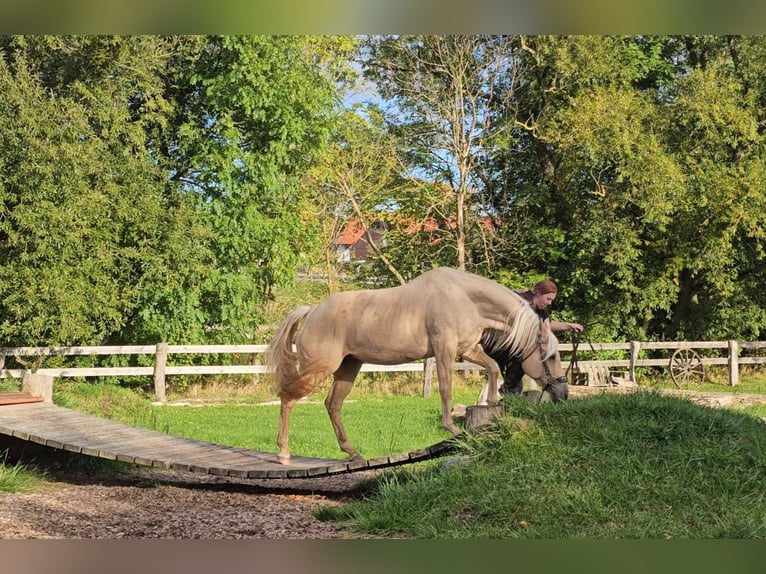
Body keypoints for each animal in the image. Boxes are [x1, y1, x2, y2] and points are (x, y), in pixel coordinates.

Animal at [266, 267, 565, 464]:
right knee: (287, 397)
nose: (563, 393)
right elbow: (446, 389)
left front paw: (491, 401)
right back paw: (283, 453)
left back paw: (352, 452)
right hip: (319, 369)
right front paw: (453, 430)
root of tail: (311, 311)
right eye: (551, 356)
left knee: (333, 404)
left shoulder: (468, 349)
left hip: (349, 367)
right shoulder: (445, 351)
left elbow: (491, 367)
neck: (465, 298)